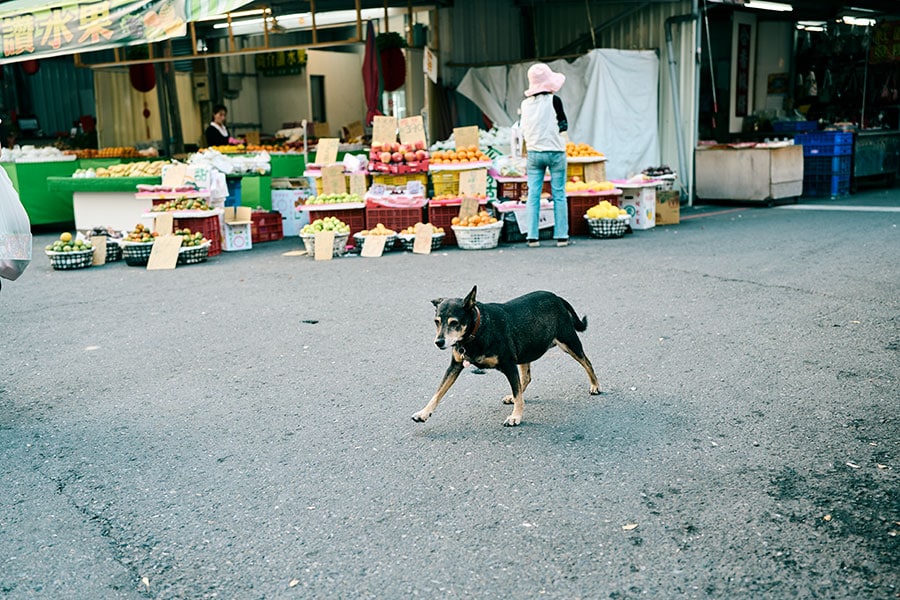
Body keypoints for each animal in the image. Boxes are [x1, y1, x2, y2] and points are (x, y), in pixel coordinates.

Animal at [412, 286, 600, 426]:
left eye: (454, 323)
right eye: (436, 322)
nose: (439, 342)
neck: (477, 330)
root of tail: (556, 297)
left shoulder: (509, 365)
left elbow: (517, 393)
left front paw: (516, 416)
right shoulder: (454, 366)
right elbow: (438, 392)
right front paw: (424, 412)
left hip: (569, 342)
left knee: (587, 362)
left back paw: (595, 385)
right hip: (526, 350)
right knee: (526, 378)